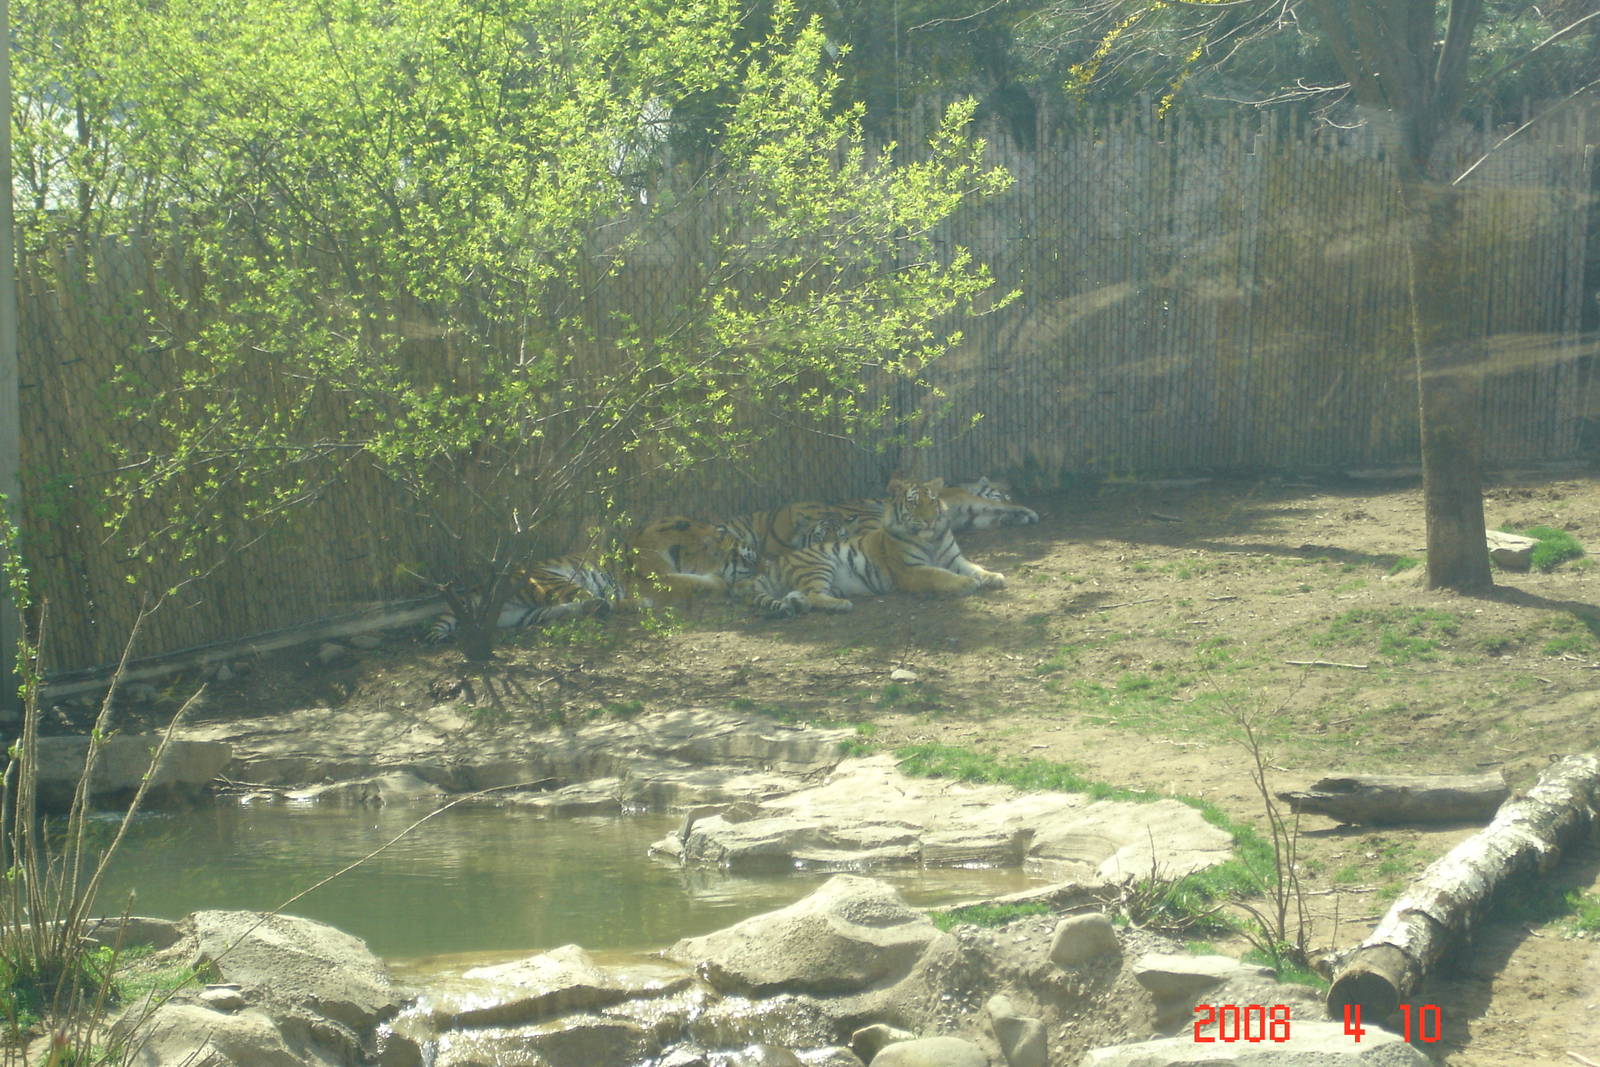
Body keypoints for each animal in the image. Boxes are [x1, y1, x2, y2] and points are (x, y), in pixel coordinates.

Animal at [424, 518, 756, 643]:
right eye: (747, 559)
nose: (761, 567)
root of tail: (481, 586)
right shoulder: (658, 580)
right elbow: (699, 581)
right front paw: (725, 586)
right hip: (554, 580)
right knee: (595, 602)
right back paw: (629, 605)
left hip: (521, 613)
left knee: (564, 610)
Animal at [741, 476, 1006, 617]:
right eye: (914, 503)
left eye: (932, 501)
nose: (930, 520)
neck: (930, 538)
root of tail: (775, 564)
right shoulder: (910, 570)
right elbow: (939, 575)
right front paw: (966, 583)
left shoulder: (954, 559)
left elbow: (976, 567)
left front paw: (994, 576)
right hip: (818, 565)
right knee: (814, 594)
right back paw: (841, 605)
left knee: (801, 594)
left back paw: (799, 604)